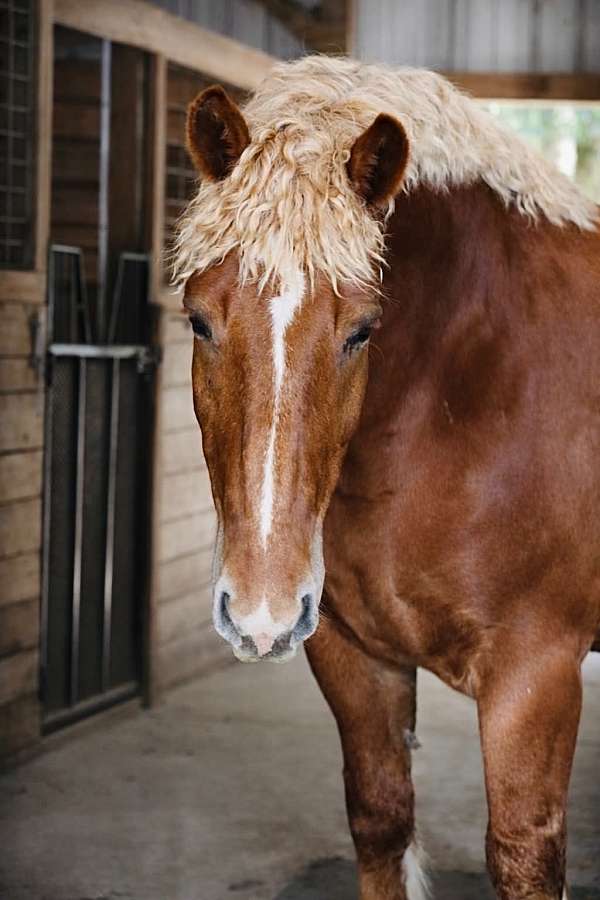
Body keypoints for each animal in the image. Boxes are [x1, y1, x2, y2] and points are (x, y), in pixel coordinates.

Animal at [174, 56, 600, 900]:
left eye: (362, 330)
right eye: (200, 321)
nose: (261, 615)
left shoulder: (535, 677)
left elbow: (524, 852)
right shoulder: (353, 655)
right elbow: (380, 817)